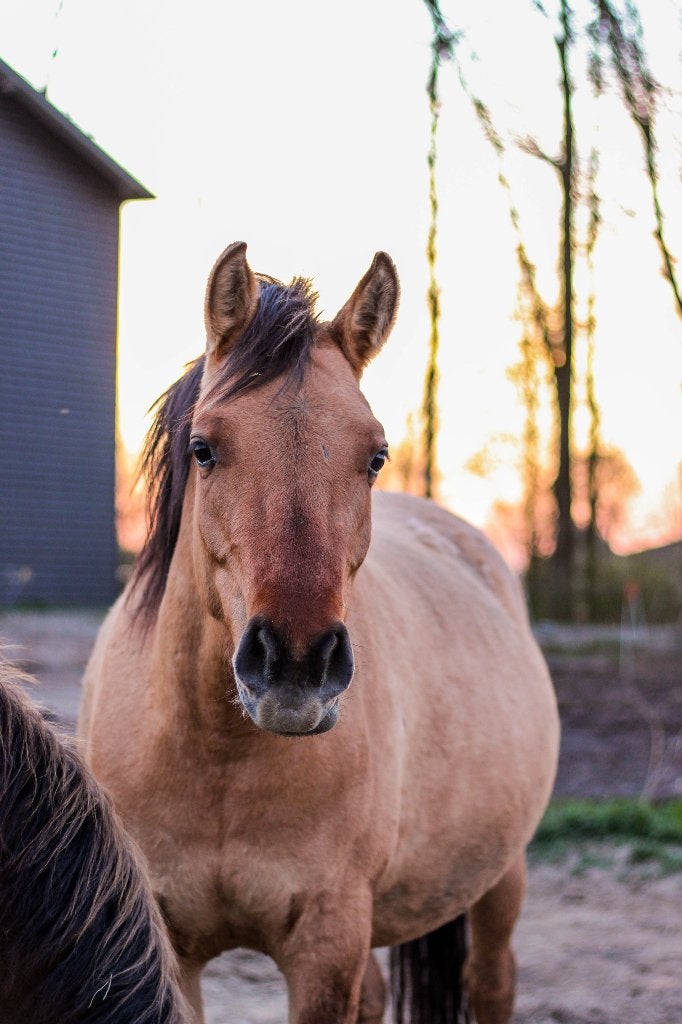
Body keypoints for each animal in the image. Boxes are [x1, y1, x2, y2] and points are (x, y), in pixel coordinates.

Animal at [79, 242, 560, 1024]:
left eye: (375, 456)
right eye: (204, 448)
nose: (297, 665)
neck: (218, 753)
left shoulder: (326, 945)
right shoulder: (170, 944)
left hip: (500, 881)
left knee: (492, 982)